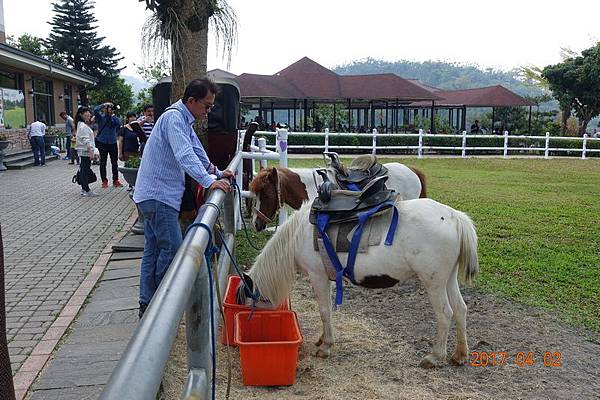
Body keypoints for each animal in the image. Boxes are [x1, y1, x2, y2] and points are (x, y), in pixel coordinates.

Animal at [239, 198, 478, 368]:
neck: (299, 234)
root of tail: (454, 217)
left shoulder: (317, 277)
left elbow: (324, 311)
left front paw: (326, 347)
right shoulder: (328, 278)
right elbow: (329, 311)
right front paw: (323, 338)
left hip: (434, 284)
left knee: (445, 314)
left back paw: (435, 357)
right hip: (448, 280)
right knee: (460, 309)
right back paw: (459, 355)